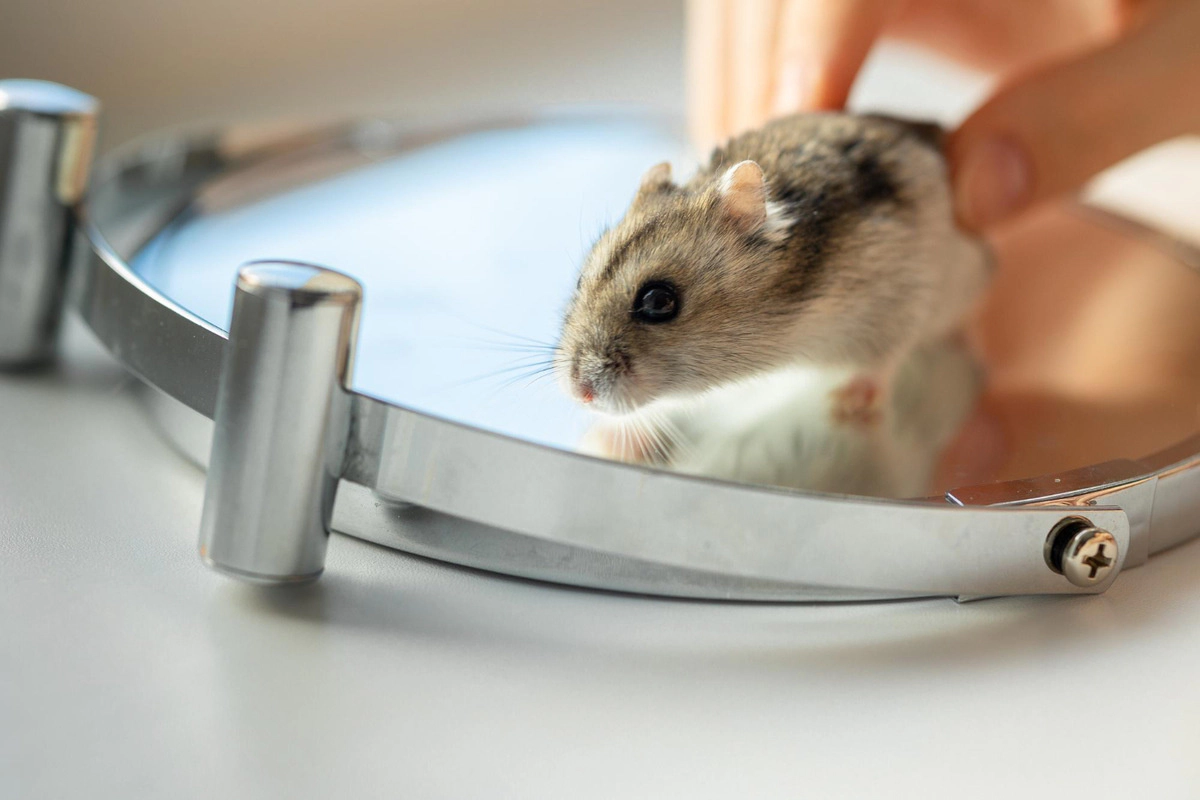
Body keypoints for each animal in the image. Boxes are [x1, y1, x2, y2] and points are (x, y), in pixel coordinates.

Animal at [556, 112, 990, 422]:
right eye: (579, 281)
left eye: (658, 301)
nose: (580, 393)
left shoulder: (901, 299)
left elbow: (884, 360)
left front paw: (847, 405)